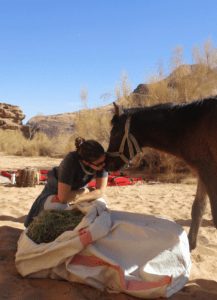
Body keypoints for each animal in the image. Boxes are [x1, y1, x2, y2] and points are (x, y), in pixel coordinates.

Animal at [104, 96, 217, 251]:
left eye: (114, 134)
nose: (106, 163)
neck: (190, 125)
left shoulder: (208, 170)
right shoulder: (202, 171)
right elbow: (198, 208)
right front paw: (190, 245)